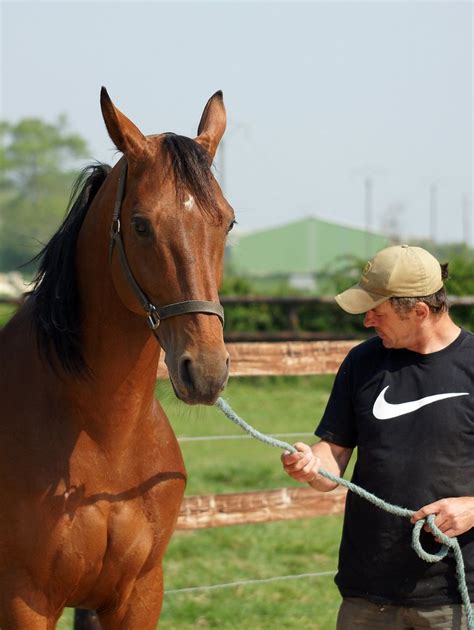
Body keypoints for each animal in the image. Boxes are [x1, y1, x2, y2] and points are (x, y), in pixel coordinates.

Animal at [0, 90, 233, 630]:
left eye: (227, 222)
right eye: (142, 225)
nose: (206, 371)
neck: (106, 440)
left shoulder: (137, 595)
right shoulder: (23, 600)